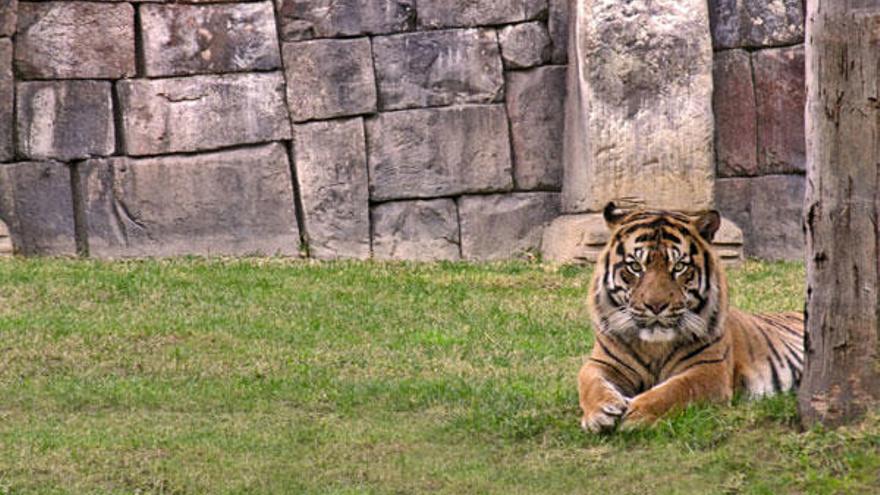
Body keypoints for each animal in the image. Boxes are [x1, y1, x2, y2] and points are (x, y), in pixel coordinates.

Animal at [576, 203, 804, 432]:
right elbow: (588, 381)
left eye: (678, 267)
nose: (656, 306)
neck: (654, 346)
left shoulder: (709, 369)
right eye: (635, 267)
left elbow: (674, 390)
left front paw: (636, 414)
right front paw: (600, 412)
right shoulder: (603, 362)